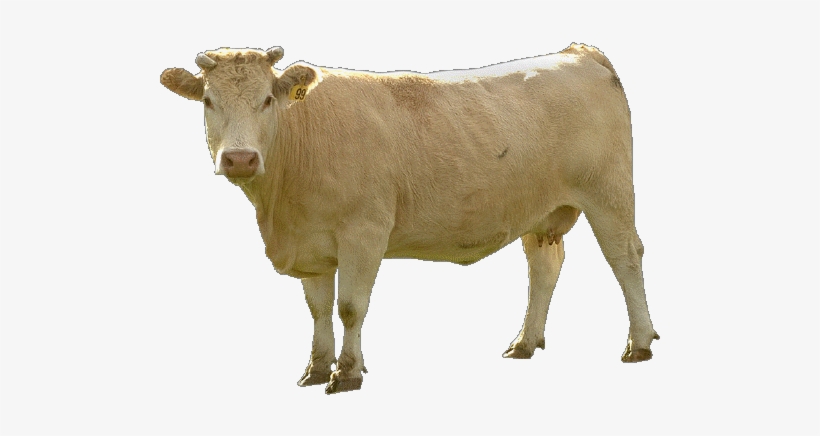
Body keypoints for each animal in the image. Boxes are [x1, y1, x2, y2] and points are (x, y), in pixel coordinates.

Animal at [160, 43, 659, 394]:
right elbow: (318, 308)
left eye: (267, 100)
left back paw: (639, 343)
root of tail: (579, 52)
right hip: (539, 208)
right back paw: (524, 342)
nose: (240, 159)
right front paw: (316, 369)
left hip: (609, 192)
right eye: (208, 100)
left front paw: (348, 374)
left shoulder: (364, 232)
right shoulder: (311, 243)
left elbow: (350, 306)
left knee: (625, 258)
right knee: (545, 267)